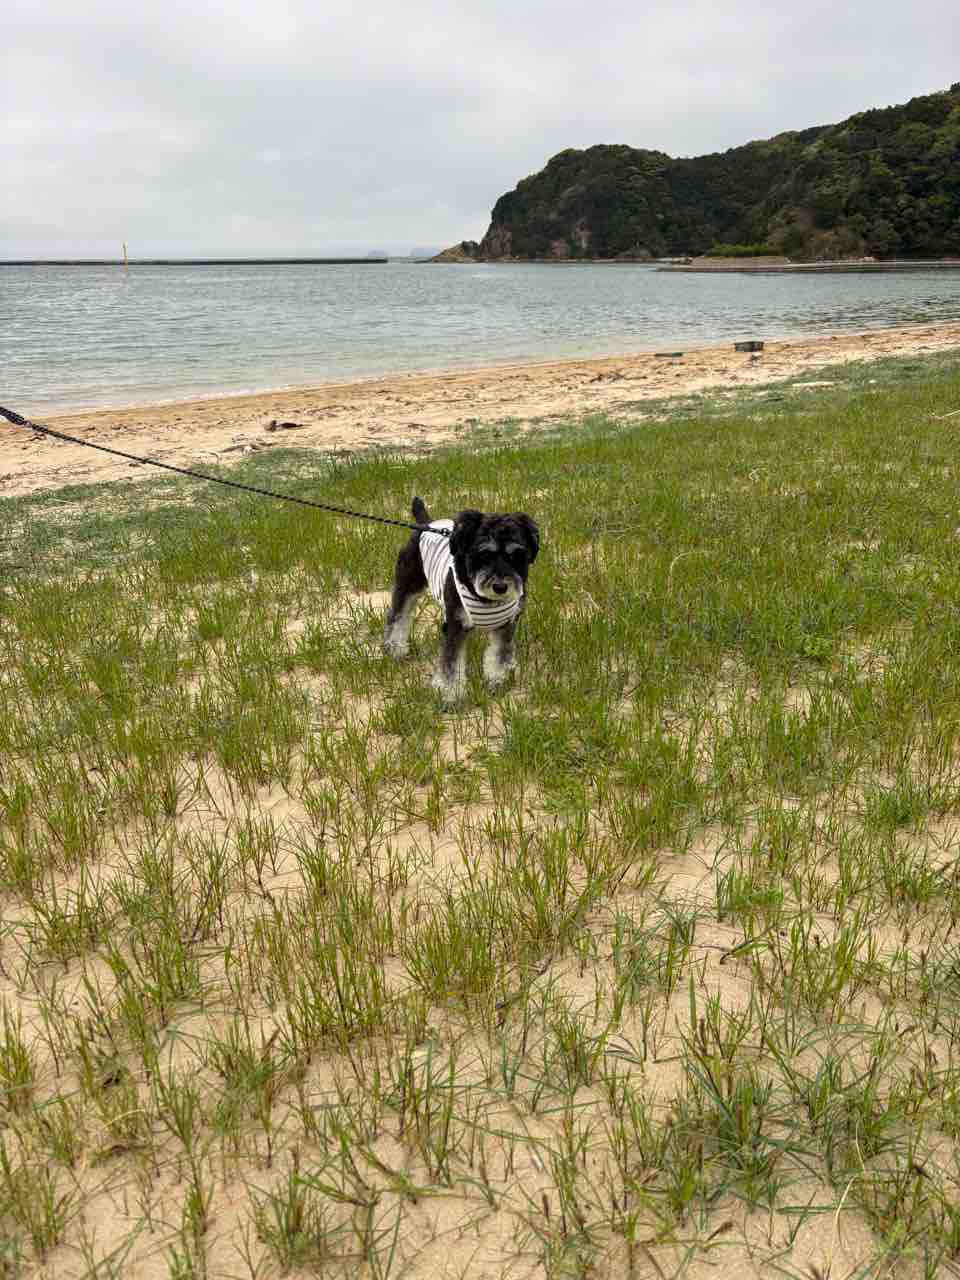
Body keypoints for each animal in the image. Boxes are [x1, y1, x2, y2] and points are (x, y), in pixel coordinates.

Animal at [383, 497, 540, 703]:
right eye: (484, 554)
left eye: (516, 556)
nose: (500, 587)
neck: (486, 600)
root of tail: (426, 523)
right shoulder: (455, 626)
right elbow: (451, 663)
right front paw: (450, 694)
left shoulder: (506, 626)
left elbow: (499, 654)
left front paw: (497, 680)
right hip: (407, 584)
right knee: (397, 616)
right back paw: (394, 648)